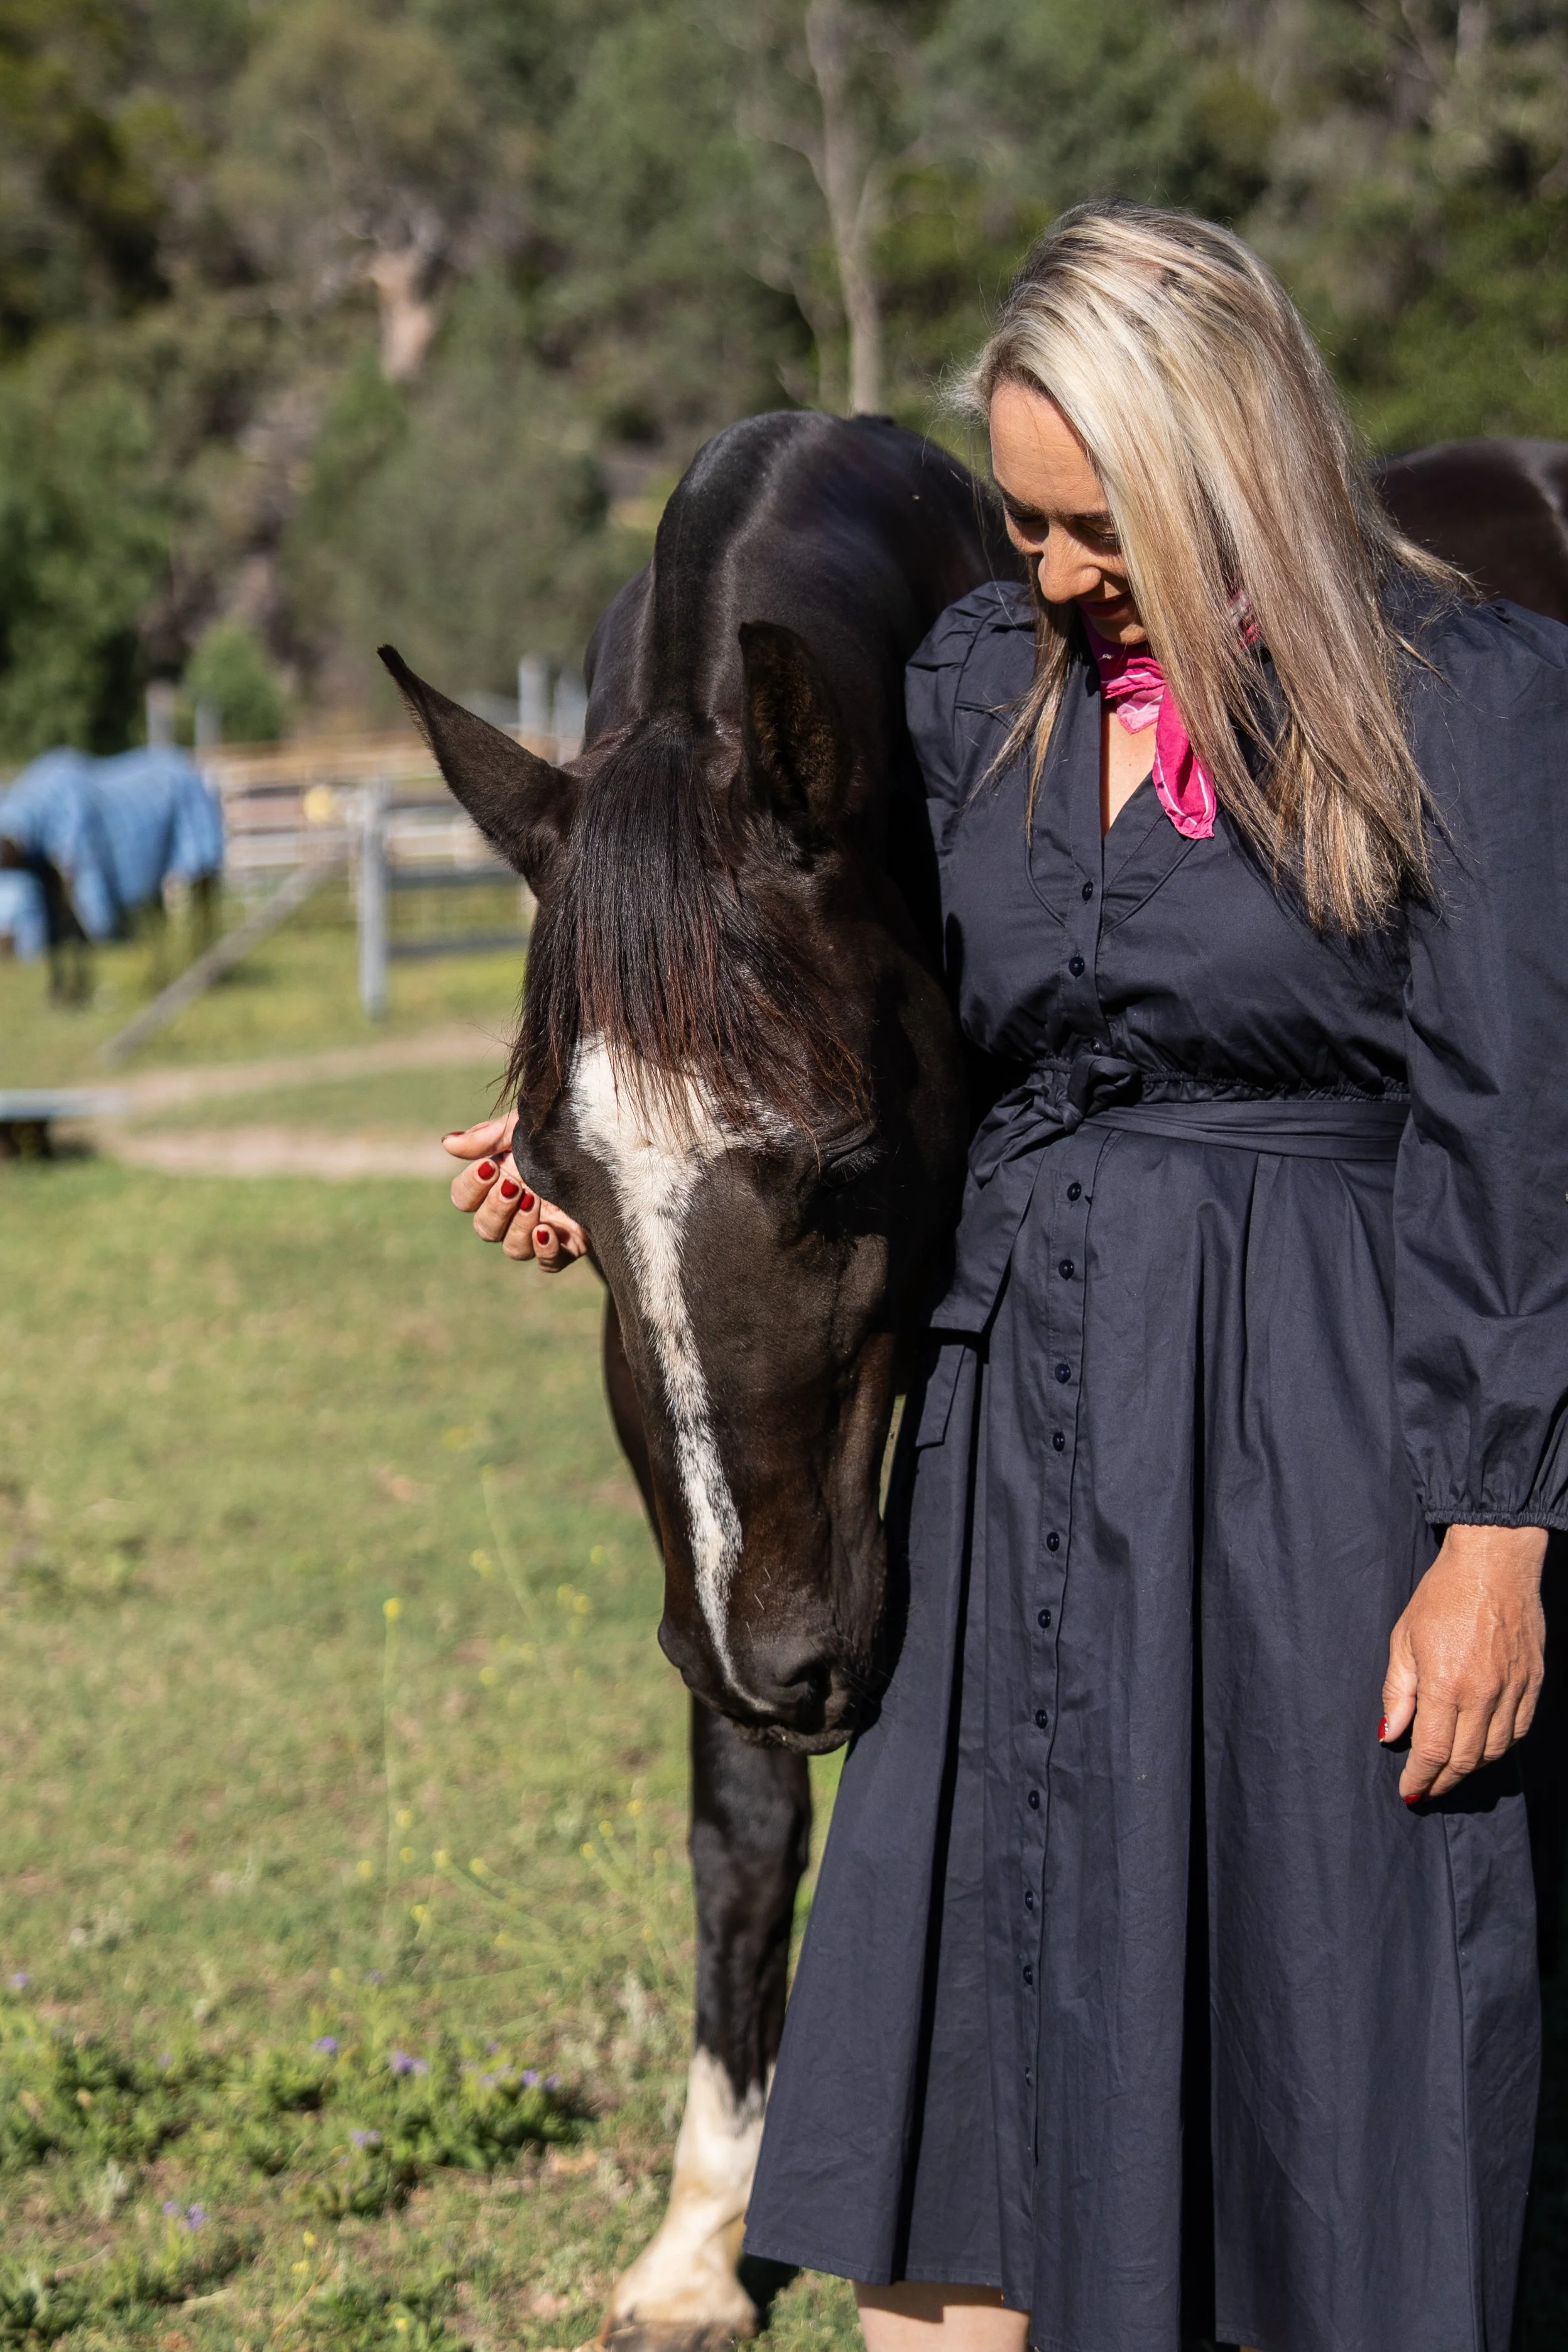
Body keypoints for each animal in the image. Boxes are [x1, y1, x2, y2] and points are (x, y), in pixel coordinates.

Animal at [0, 745, 224, 1004]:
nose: (6, 944)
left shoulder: (75, 882)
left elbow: (75, 932)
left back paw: (204, 965)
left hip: (198, 871)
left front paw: (78, 992)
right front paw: (59, 993)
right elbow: (55, 935)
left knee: (203, 915)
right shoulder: (51, 887)